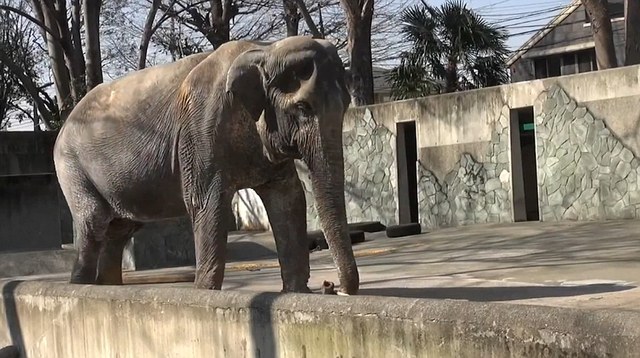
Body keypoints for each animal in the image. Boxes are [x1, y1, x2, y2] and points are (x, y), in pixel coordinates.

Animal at [53, 35, 360, 296]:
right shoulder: (201, 128)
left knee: (119, 230)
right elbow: (206, 202)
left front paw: (297, 293)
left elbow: (289, 199)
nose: (332, 287)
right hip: (71, 167)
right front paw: (205, 292)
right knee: (94, 222)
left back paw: (108, 288)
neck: (265, 49)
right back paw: (79, 288)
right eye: (303, 108)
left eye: (346, 104)